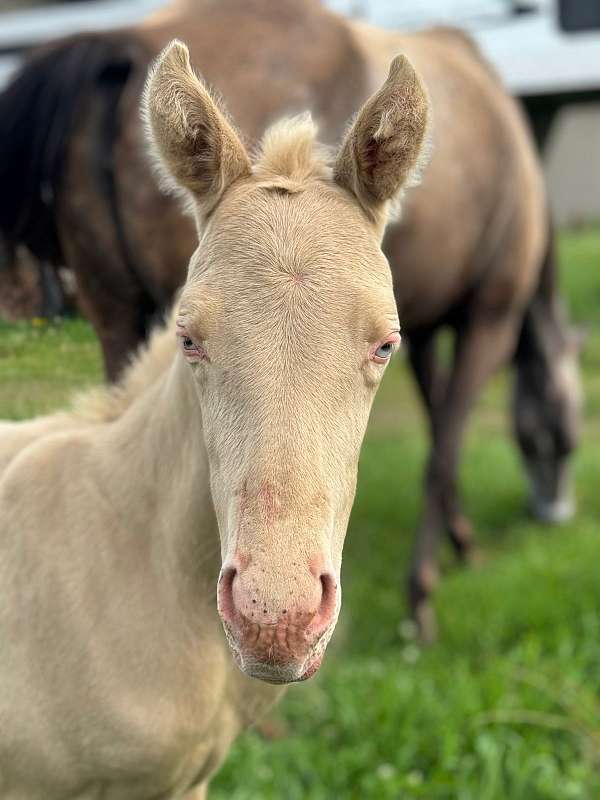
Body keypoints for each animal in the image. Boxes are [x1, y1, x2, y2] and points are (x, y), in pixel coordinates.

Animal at [0, 0, 582, 637]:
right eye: (564, 435)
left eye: (386, 343)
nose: (555, 513)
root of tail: (118, 45)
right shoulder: (491, 316)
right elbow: (442, 450)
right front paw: (424, 596)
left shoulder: (427, 327)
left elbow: (436, 426)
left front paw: (461, 542)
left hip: (111, 307)